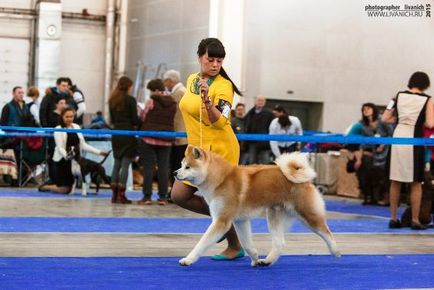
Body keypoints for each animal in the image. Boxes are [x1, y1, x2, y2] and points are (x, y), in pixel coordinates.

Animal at [175, 146, 340, 266]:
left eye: (188, 167)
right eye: (181, 165)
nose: (175, 172)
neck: (220, 179)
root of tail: (304, 179)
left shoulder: (221, 221)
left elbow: (202, 243)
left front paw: (188, 259)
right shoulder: (240, 221)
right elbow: (247, 243)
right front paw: (254, 258)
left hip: (307, 215)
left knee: (327, 232)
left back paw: (336, 251)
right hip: (274, 216)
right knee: (279, 243)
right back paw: (266, 261)